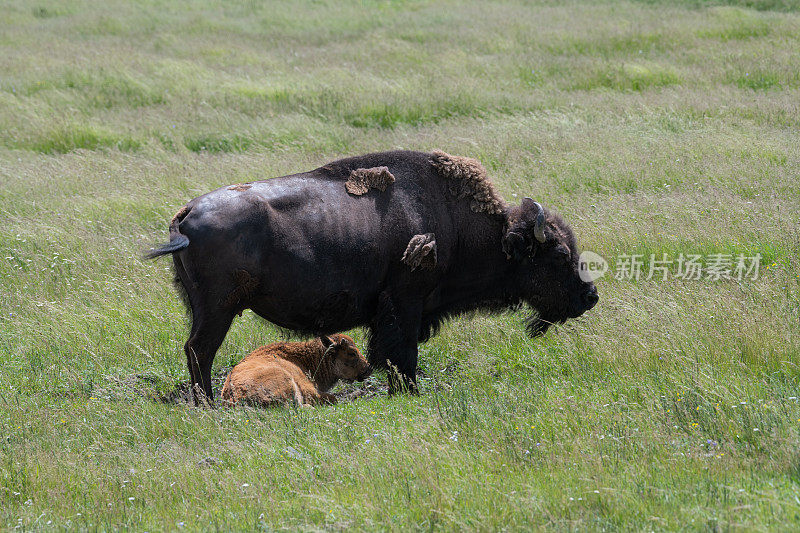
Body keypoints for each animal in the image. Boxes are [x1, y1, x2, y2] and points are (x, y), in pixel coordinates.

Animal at [148, 150, 600, 400]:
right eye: (559, 254)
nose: (589, 296)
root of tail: (186, 214)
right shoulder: (405, 304)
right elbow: (402, 355)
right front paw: (409, 393)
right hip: (218, 309)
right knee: (200, 351)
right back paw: (206, 404)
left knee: (196, 351)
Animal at [222, 332, 372, 408]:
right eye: (352, 352)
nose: (368, 368)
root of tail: (236, 397)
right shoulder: (309, 389)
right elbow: (333, 398)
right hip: (287, 381)